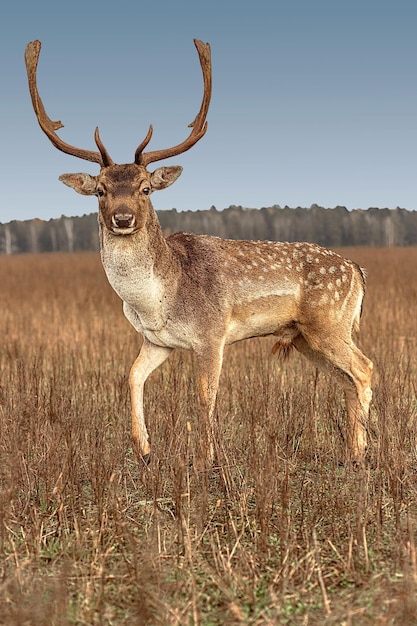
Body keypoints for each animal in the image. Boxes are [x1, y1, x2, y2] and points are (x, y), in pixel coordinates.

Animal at [24, 37, 372, 464]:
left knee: (364, 368)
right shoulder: (157, 340)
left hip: (330, 322)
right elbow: (132, 376)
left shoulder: (211, 333)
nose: (122, 218)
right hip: (305, 336)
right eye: (101, 190)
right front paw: (144, 449)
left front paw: (209, 459)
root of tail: (357, 270)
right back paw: (352, 450)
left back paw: (361, 452)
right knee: (348, 377)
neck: (156, 300)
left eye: (145, 188)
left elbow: (206, 395)